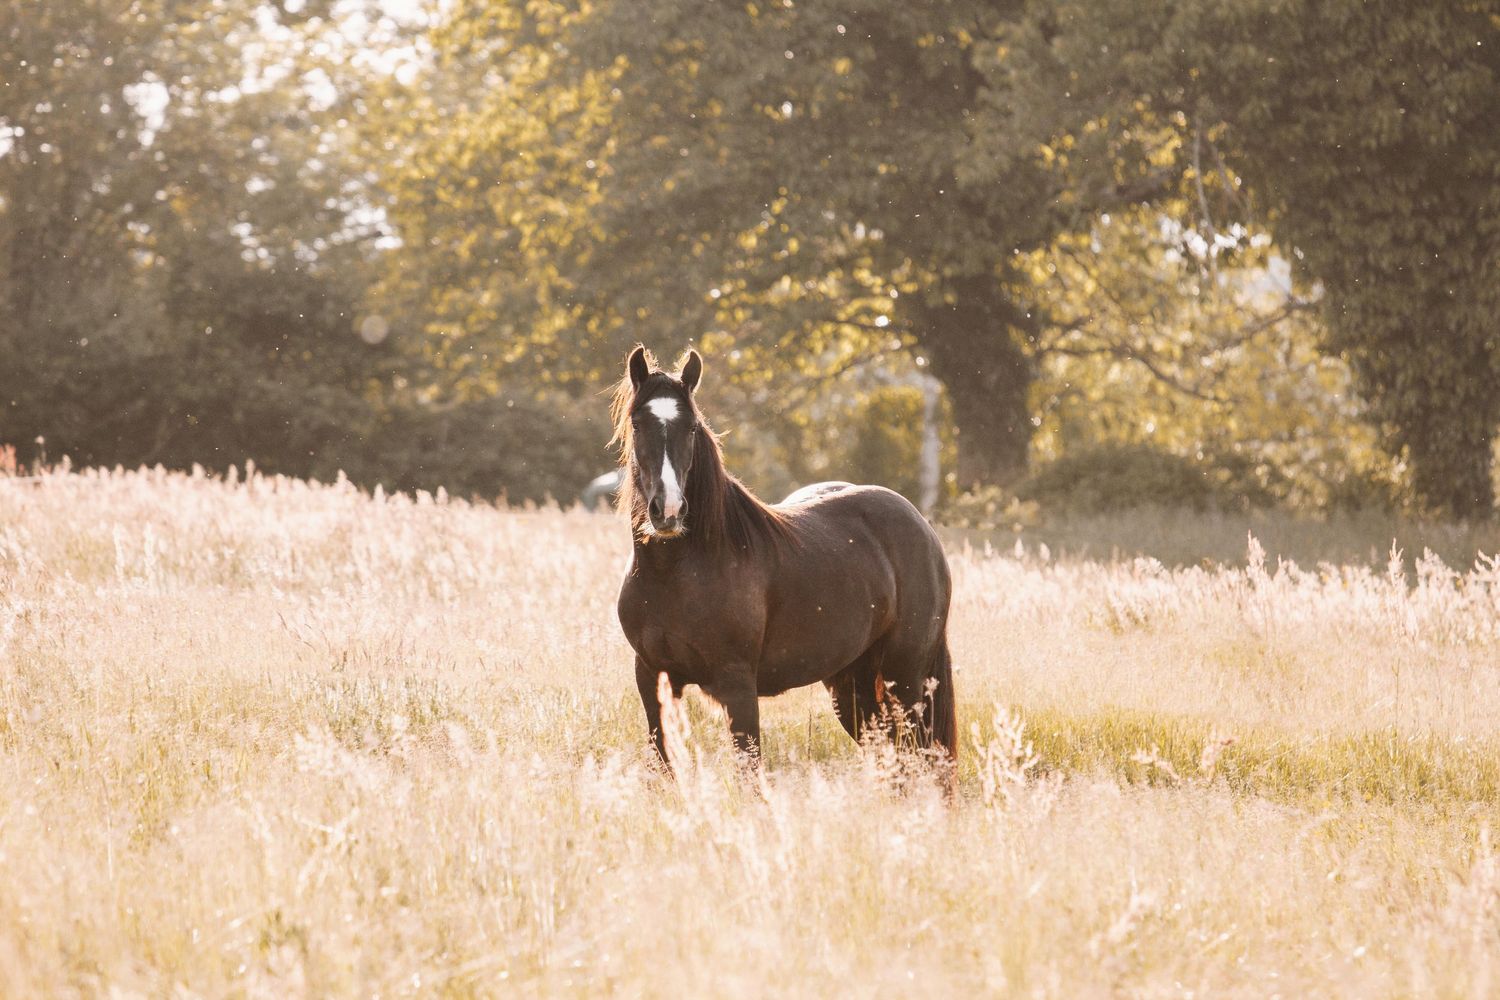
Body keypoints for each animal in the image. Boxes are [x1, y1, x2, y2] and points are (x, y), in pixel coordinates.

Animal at [612, 345, 957, 770]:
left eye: (691, 427)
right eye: (638, 424)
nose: (669, 511)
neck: (674, 574)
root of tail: (922, 526)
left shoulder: (737, 686)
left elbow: (750, 768)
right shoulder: (651, 679)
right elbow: (662, 764)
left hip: (905, 679)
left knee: (919, 756)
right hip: (853, 685)